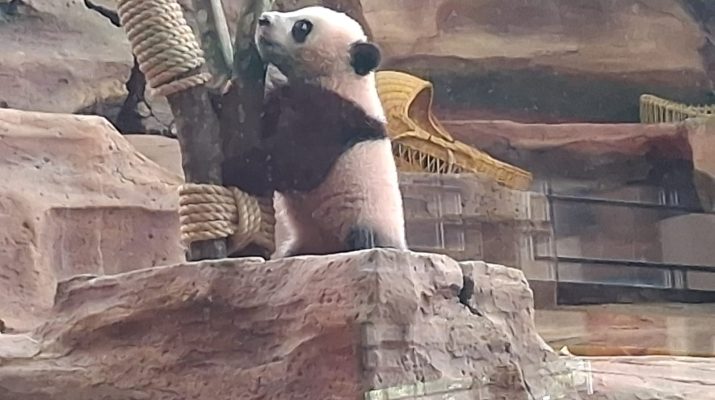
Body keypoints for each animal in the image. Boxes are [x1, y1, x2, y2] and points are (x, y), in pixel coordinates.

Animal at [222, 6, 407, 258]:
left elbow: (295, 163)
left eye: (302, 26)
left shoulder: (334, 117)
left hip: (366, 221)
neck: (341, 78)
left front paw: (231, 167)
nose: (263, 19)